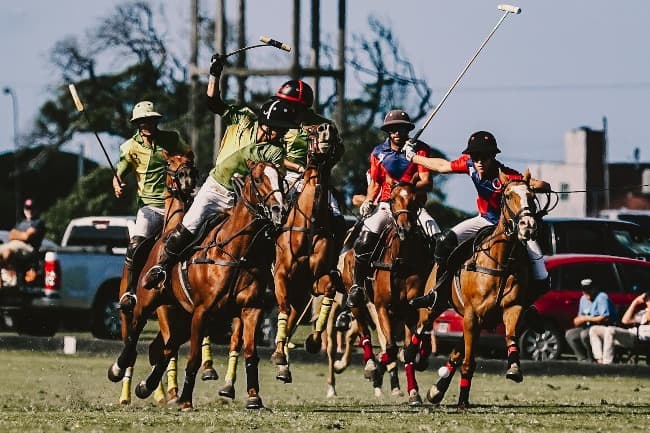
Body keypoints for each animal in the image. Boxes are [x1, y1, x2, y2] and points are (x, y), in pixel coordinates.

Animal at [268, 124, 342, 382]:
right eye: (310, 131)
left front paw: (313, 341)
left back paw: (283, 362)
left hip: (300, 296)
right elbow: (281, 308)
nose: (325, 128)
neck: (310, 222)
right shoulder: (281, 275)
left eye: (335, 131)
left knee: (292, 319)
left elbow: (329, 290)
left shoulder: (316, 279)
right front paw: (279, 355)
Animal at [428, 170, 540, 408]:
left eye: (532, 196)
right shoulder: (472, 315)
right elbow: (468, 361)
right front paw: (462, 400)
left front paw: (514, 369)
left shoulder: (512, 307)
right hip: (435, 307)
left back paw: (436, 390)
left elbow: (510, 335)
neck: (501, 261)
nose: (528, 225)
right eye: (508, 195)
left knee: (456, 352)